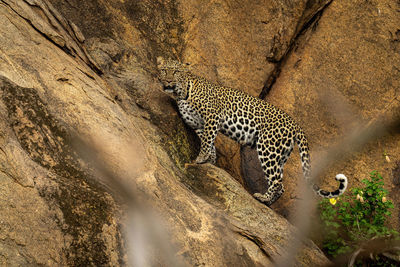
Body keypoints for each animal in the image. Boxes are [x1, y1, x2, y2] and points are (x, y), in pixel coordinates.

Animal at [156, 57, 346, 206]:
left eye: (176, 72)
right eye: (164, 71)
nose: (168, 82)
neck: (181, 93)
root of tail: (295, 125)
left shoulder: (212, 117)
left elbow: (207, 142)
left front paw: (200, 159)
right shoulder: (198, 124)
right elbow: (209, 143)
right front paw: (210, 160)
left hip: (268, 148)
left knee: (277, 181)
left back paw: (263, 198)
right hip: (281, 154)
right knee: (281, 184)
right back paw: (268, 202)